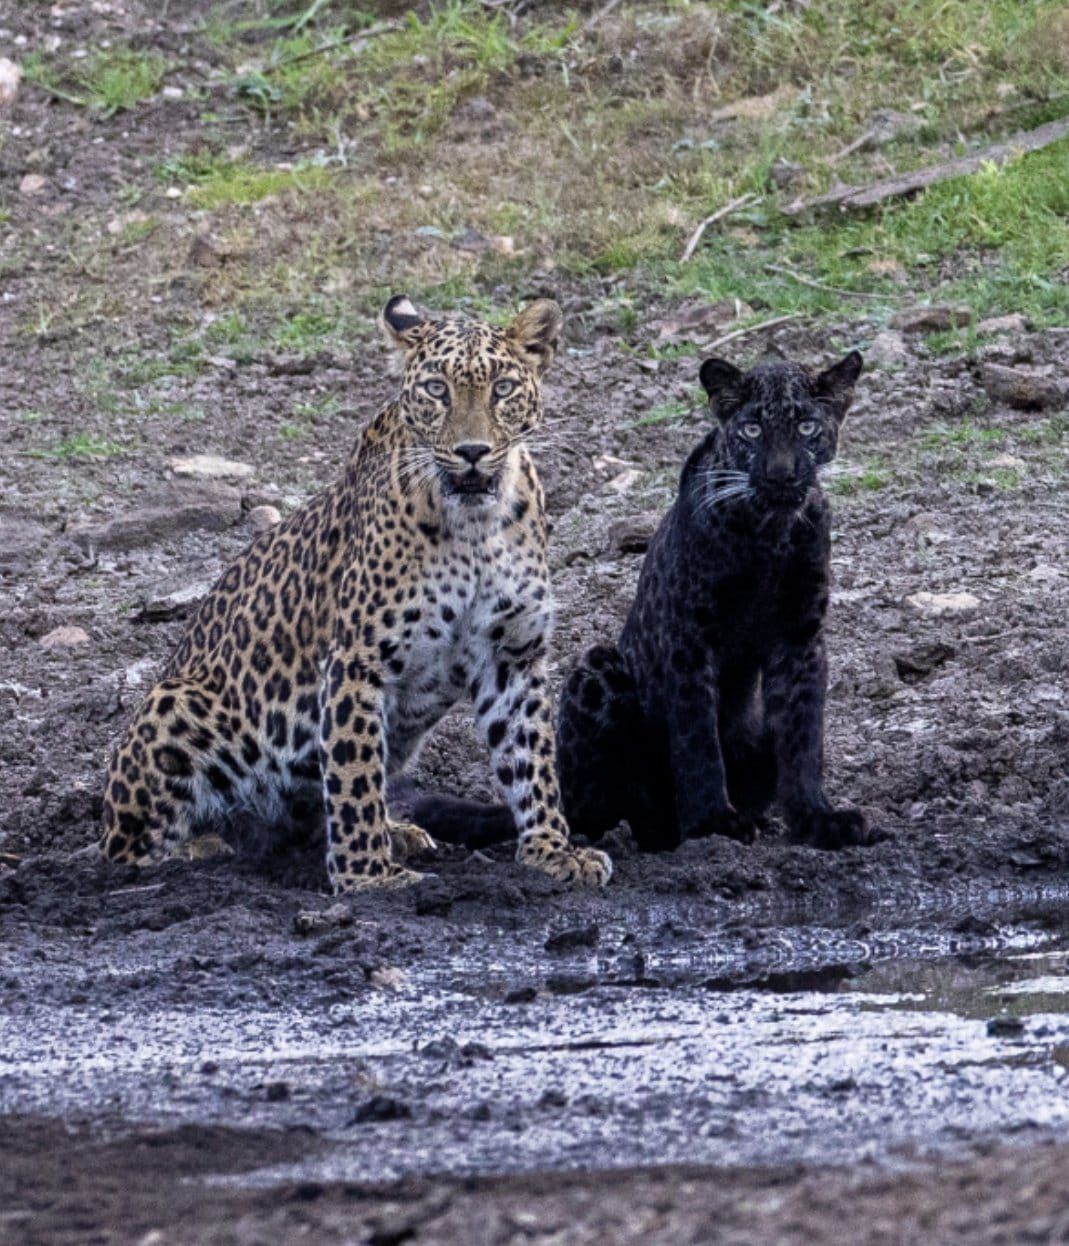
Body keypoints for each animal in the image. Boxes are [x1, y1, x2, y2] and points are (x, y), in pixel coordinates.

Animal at [99, 296, 613, 893]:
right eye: (436, 389)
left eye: (502, 388)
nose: (472, 451)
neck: (475, 529)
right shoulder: (357, 660)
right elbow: (354, 773)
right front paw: (369, 878)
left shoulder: (512, 655)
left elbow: (530, 758)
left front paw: (552, 850)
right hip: (176, 703)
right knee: (125, 848)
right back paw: (200, 851)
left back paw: (398, 832)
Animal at [413, 350, 881, 855]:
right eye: (753, 429)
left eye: (807, 427)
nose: (781, 473)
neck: (770, 532)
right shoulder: (688, 636)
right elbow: (698, 737)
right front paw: (714, 823)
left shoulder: (801, 636)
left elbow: (802, 735)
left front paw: (817, 820)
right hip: (598, 666)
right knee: (594, 812)